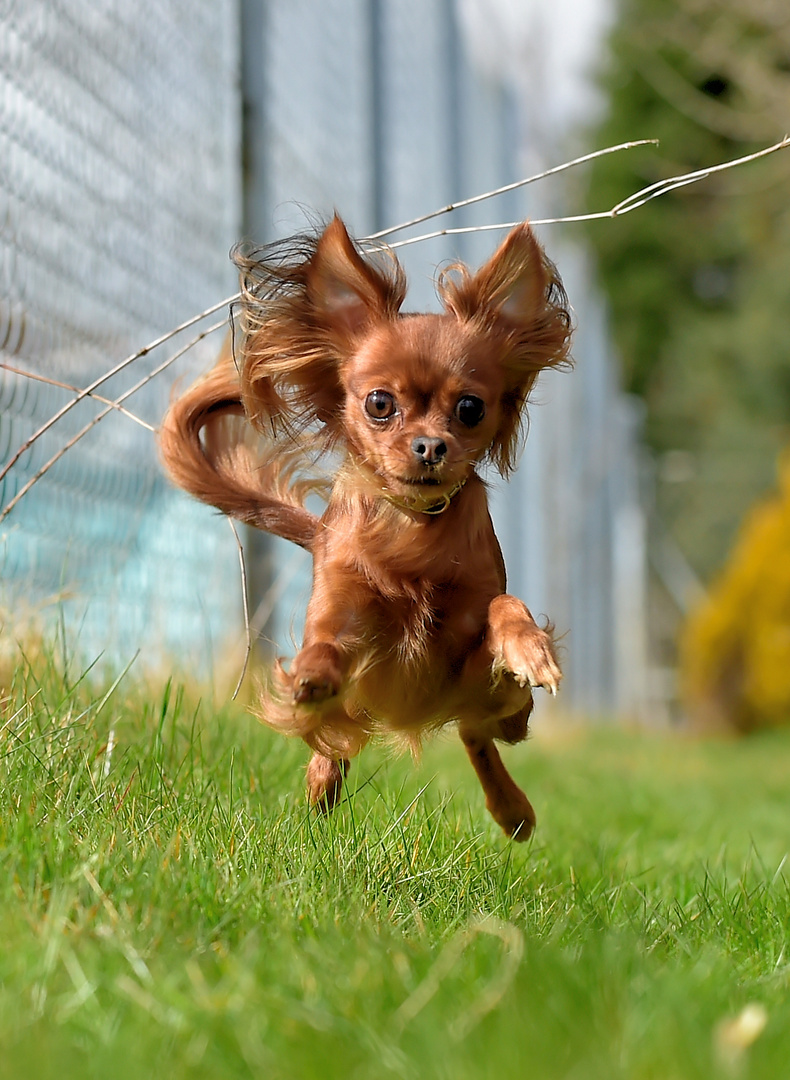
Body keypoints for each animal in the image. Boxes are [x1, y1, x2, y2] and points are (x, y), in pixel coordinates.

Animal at [157, 214, 570, 838]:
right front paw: (311, 679)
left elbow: (504, 608)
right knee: (357, 735)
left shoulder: (478, 653)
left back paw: (512, 807)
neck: (412, 527)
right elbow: (324, 650)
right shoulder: (343, 621)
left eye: (470, 408)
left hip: (493, 710)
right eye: (380, 403)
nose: (430, 446)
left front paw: (528, 648)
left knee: (477, 731)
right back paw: (323, 775)